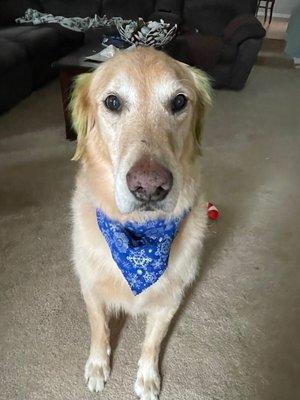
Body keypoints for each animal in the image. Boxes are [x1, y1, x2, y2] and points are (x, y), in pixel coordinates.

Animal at [70, 47, 211, 400]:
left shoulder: (169, 299)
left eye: (179, 101)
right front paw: (98, 366)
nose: (149, 185)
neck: (138, 236)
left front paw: (147, 378)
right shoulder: (91, 288)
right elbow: (99, 330)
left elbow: (153, 342)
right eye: (112, 102)